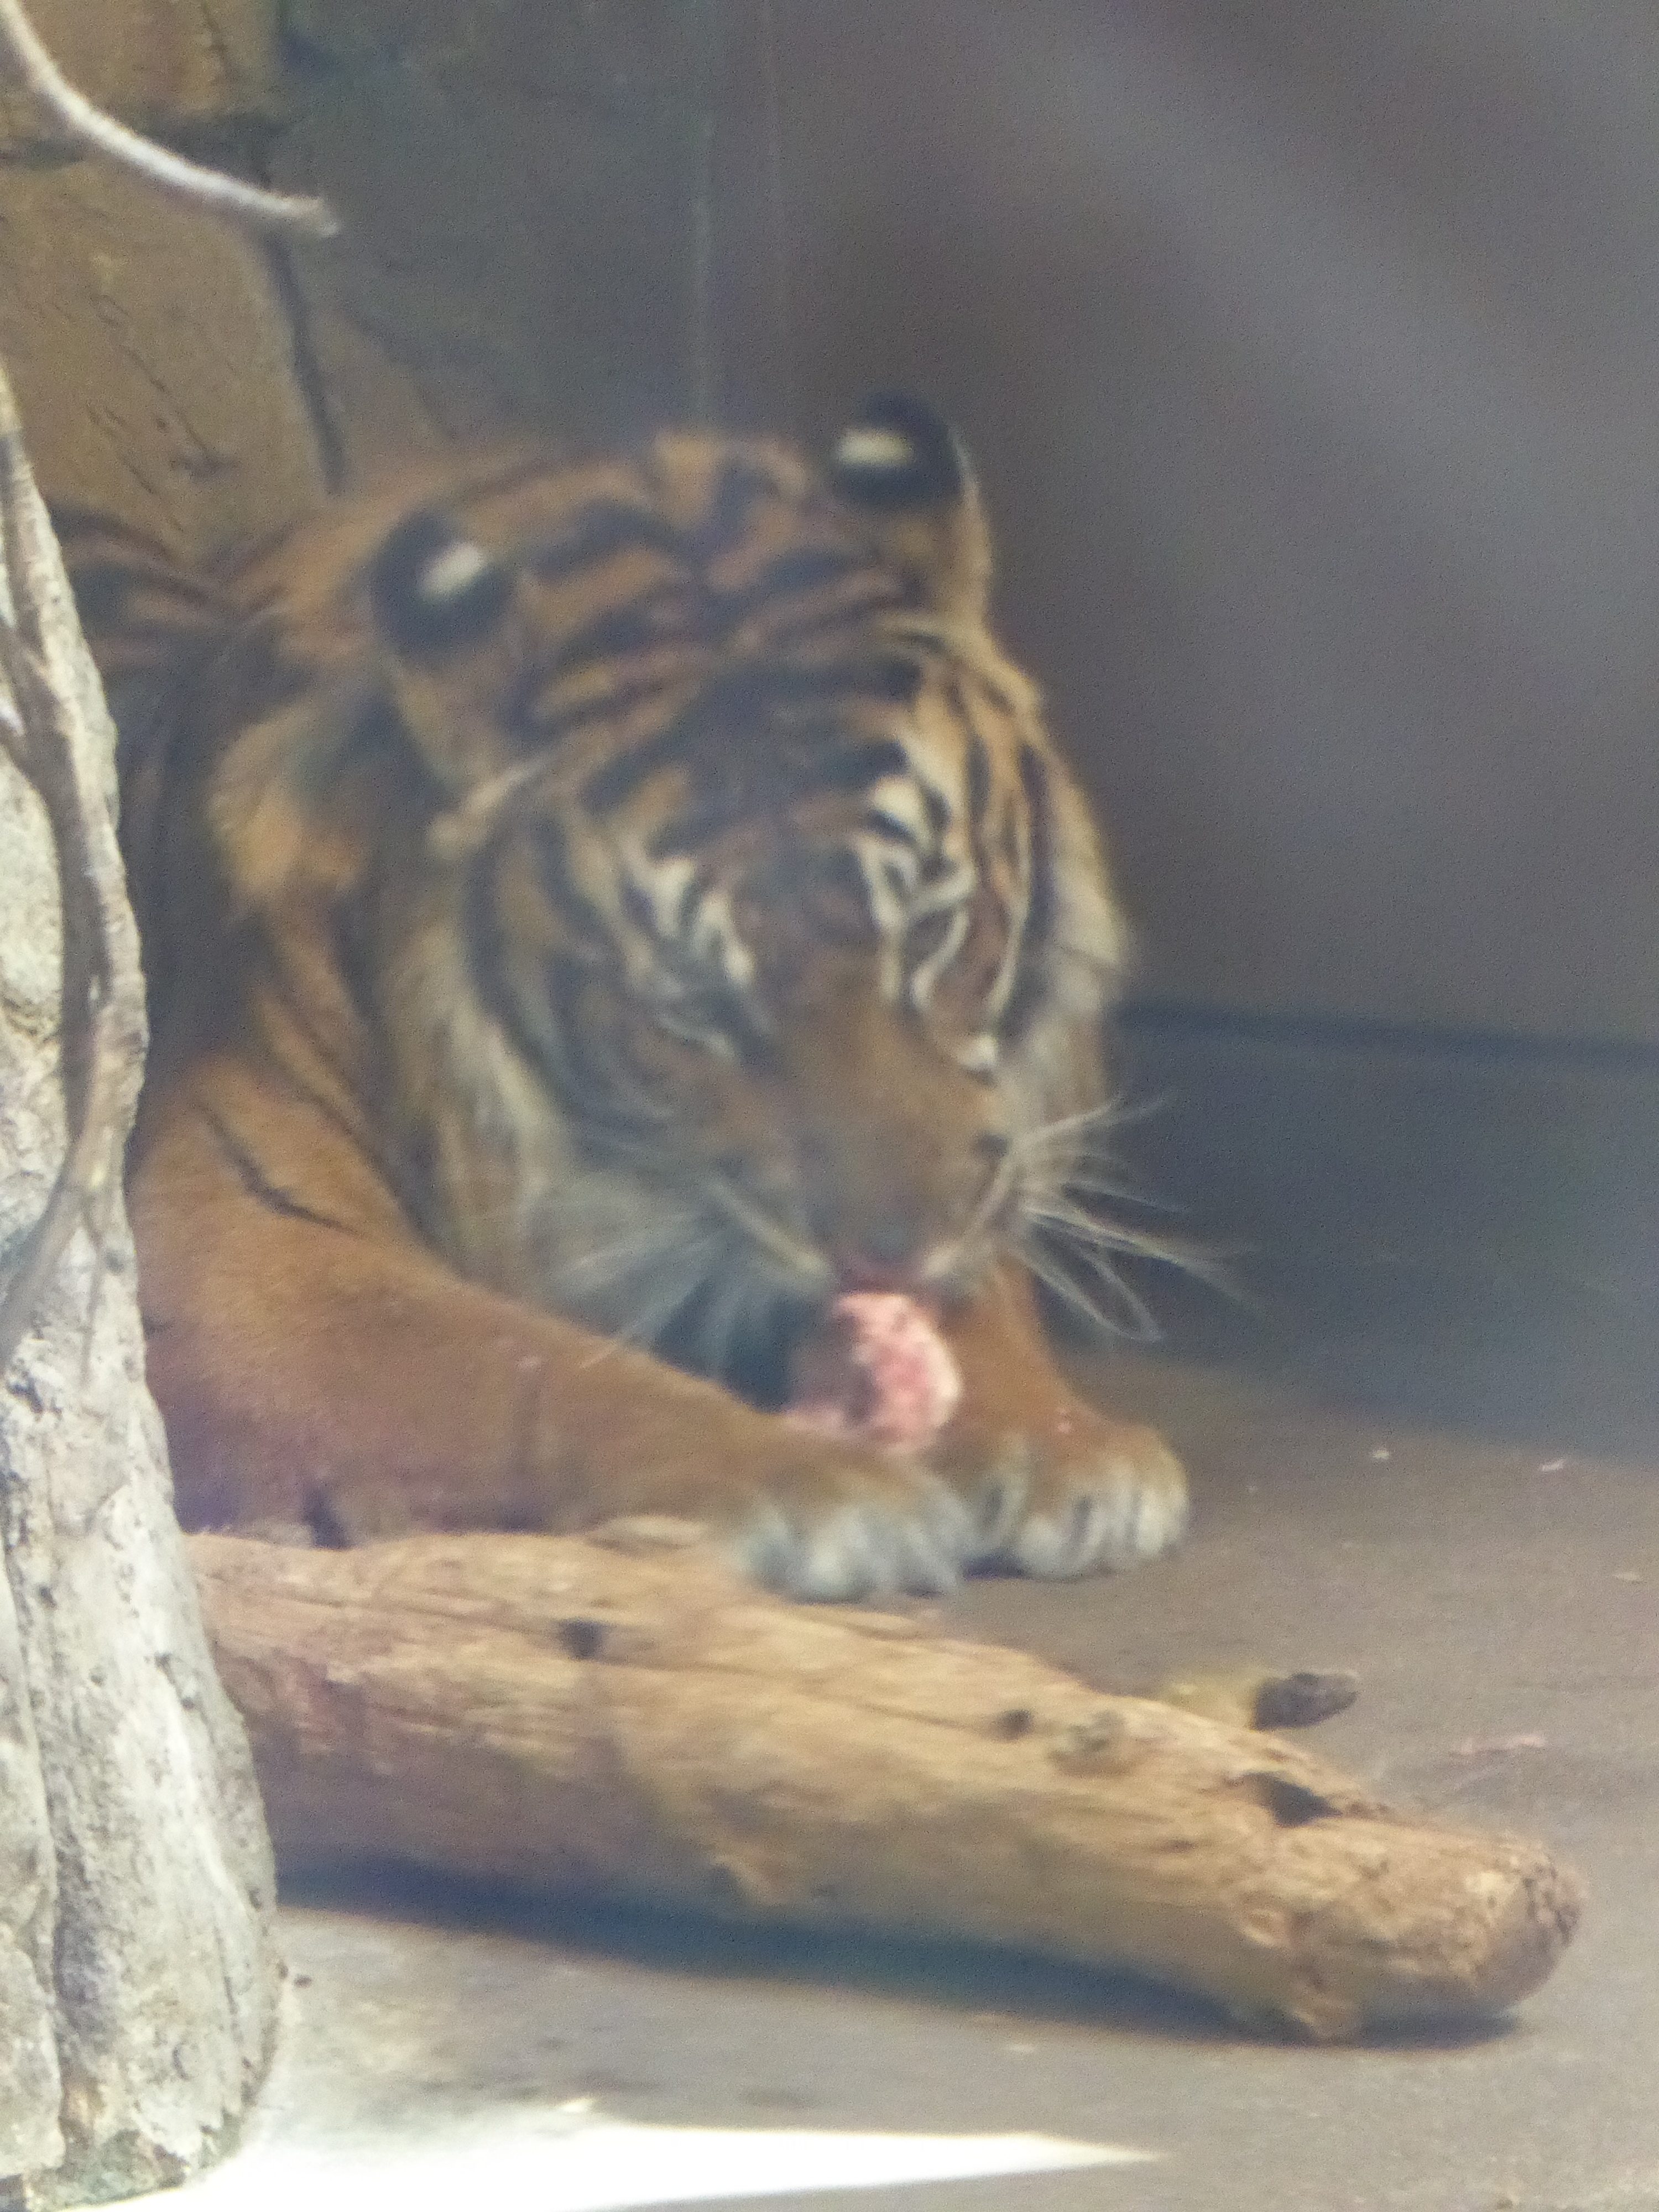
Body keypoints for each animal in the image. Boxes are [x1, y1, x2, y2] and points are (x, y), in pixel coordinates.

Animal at [59, 398, 1186, 1601]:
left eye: (932, 929)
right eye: (695, 1002)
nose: (892, 1255)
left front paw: (1066, 1448)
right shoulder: (222, 1251)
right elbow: (522, 1368)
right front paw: (821, 1488)